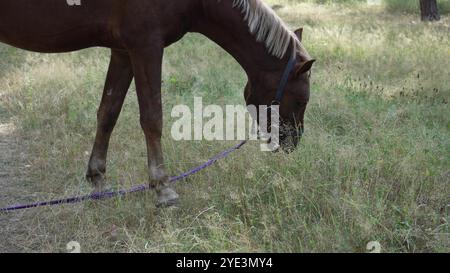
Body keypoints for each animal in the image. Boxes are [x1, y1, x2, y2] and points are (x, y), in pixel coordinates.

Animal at [0, 0, 314, 205]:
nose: (293, 143)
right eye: (300, 101)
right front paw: (162, 187)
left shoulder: (123, 51)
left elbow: (108, 113)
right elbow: (152, 118)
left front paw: (98, 179)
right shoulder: (146, 45)